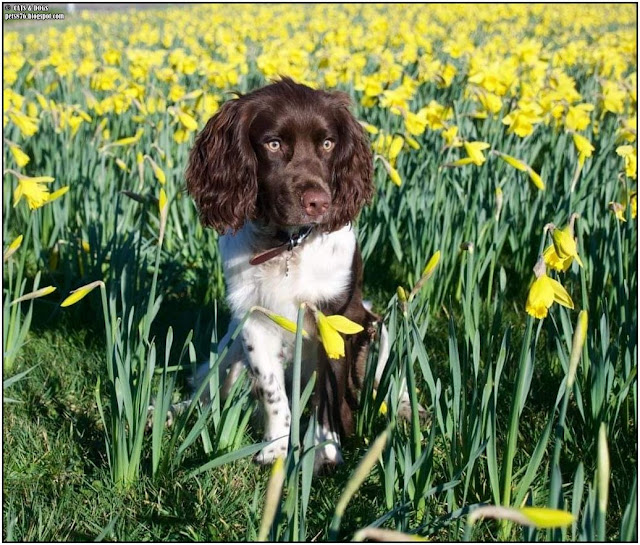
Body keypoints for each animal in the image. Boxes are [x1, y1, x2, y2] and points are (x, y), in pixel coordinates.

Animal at [185, 78, 390, 470]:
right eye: (274, 143)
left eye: (328, 143)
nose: (319, 203)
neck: (288, 245)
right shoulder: (252, 317)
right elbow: (271, 391)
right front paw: (278, 449)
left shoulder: (337, 317)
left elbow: (328, 392)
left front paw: (324, 450)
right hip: (230, 342)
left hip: (377, 328)